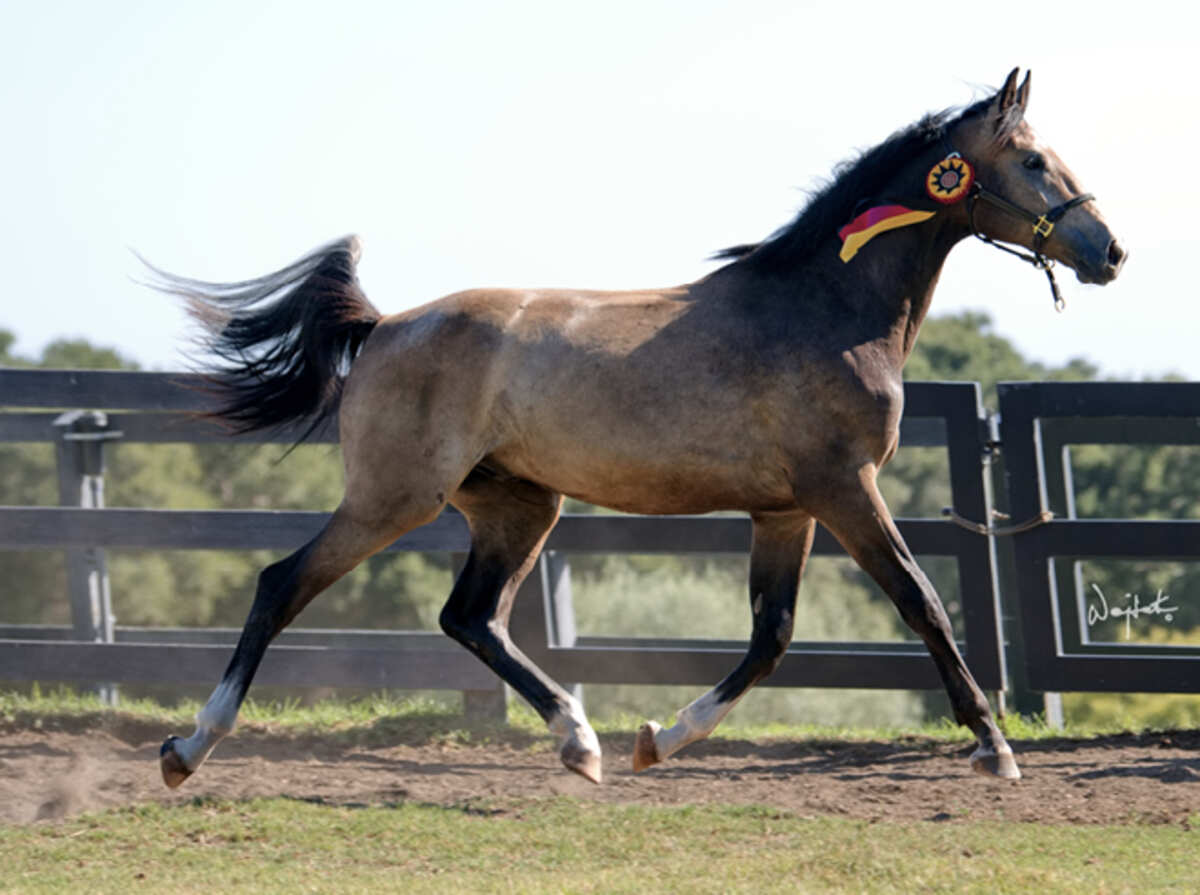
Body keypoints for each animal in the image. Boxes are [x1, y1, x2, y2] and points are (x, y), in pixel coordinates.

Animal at [154, 68, 1124, 788]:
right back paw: (187, 748)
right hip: (395, 497)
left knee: (471, 616)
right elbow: (921, 601)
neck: (825, 309)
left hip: (518, 506)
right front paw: (995, 748)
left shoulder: (787, 510)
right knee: (282, 583)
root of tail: (386, 325)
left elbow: (771, 636)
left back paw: (580, 742)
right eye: (1033, 159)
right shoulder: (846, 489)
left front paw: (660, 737)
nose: (1109, 251)